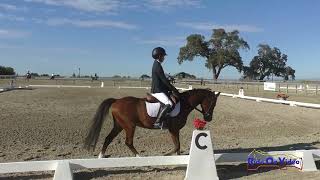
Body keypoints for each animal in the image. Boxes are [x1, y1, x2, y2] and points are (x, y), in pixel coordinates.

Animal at [84, 88, 220, 158]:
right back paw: (139, 157)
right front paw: (166, 154)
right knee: (128, 142)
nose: (208, 118)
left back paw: (101, 156)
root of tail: (116, 101)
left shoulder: (175, 130)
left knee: (108, 138)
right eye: (212, 103)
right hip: (129, 126)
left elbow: (178, 147)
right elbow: (177, 146)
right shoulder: (173, 129)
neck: (184, 103)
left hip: (119, 125)